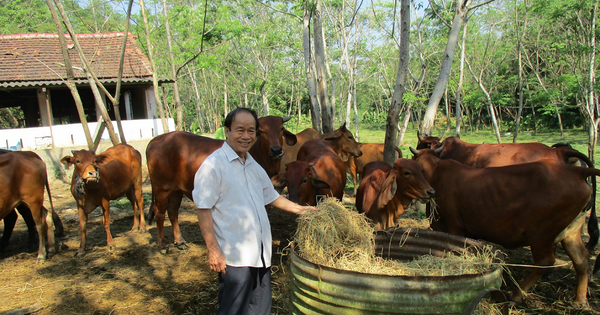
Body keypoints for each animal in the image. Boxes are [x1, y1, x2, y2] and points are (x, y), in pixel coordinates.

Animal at [145, 116, 296, 254]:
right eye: (261, 131)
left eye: (281, 128)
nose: (276, 150)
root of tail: (155, 140)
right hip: (161, 188)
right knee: (159, 213)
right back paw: (163, 245)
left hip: (176, 190)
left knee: (172, 211)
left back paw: (180, 241)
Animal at [412, 149, 600, 308]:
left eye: (420, 169)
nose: (428, 192)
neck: (437, 174)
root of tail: (577, 172)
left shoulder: (454, 227)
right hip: (570, 234)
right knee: (581, 259)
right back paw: (579, 300)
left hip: (541, 235)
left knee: (545, 261)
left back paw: (516, 295)